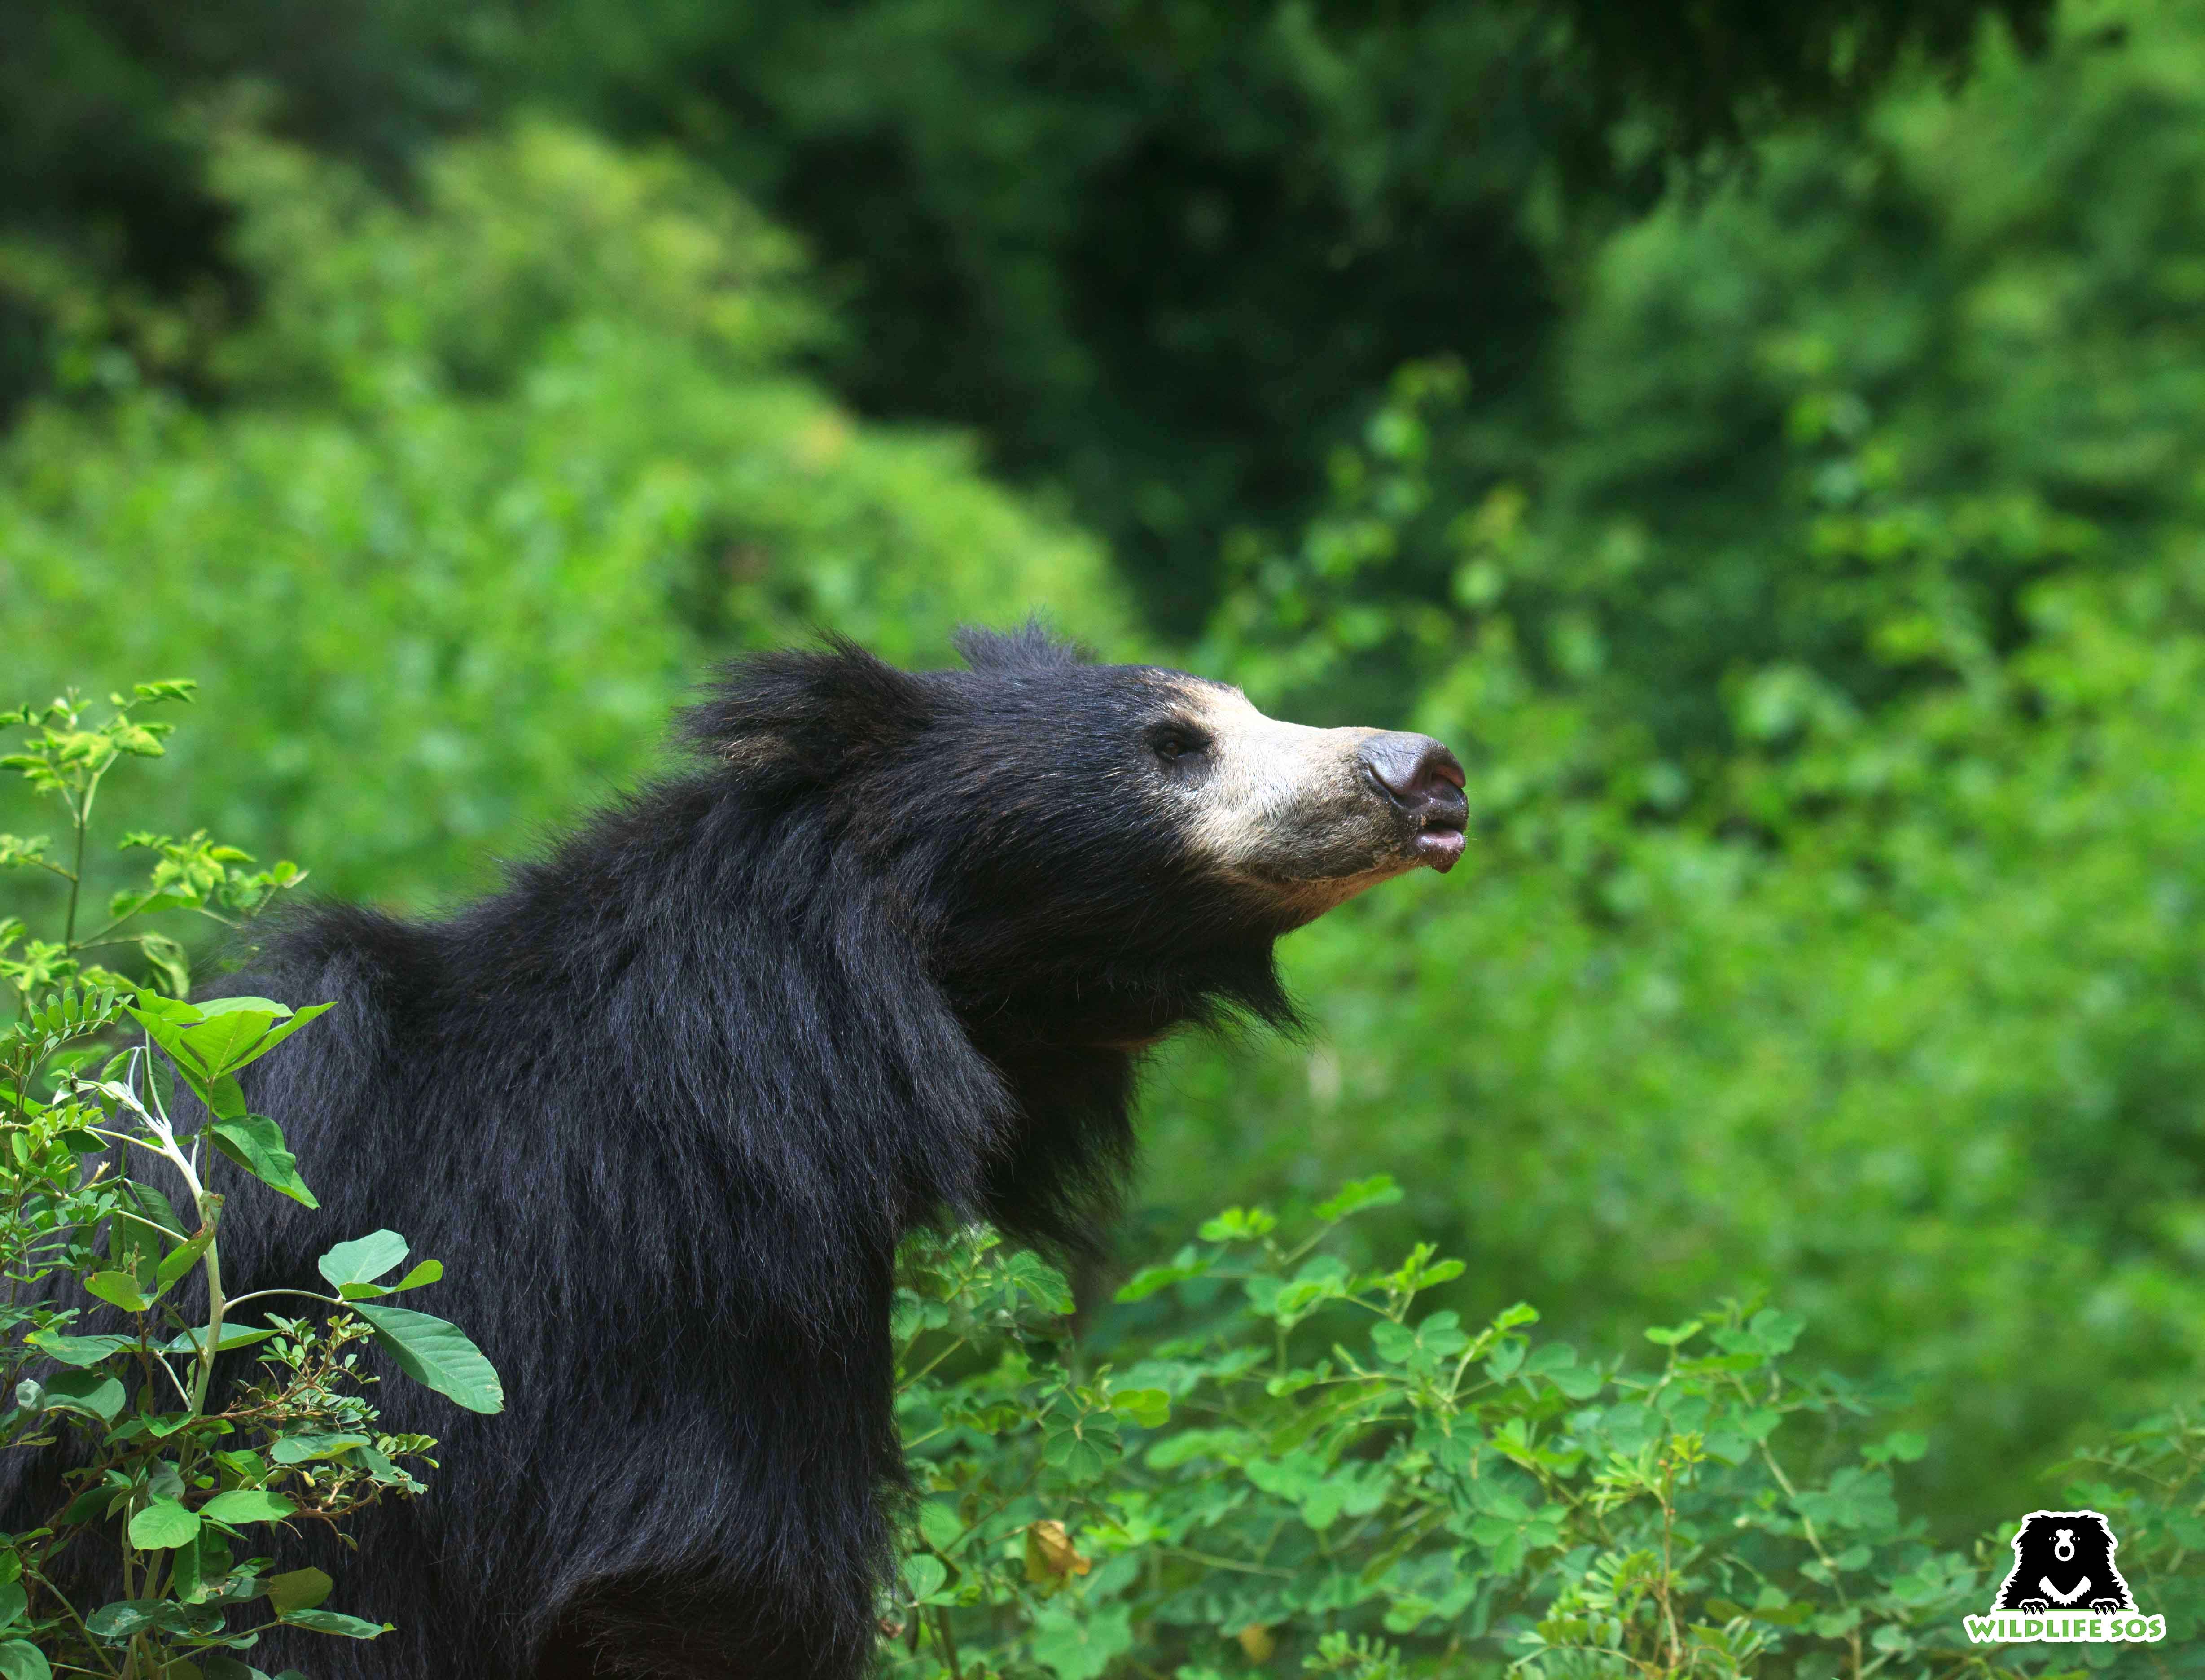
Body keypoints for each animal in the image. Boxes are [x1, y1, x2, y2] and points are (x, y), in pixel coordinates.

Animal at [1993, 1510, 2135, 1615]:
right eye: (2052, 1538)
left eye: (2077, 1538)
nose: (2065, 1550)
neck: (2064, 1571)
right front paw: (2033, 1604)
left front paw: (2105, 1604)